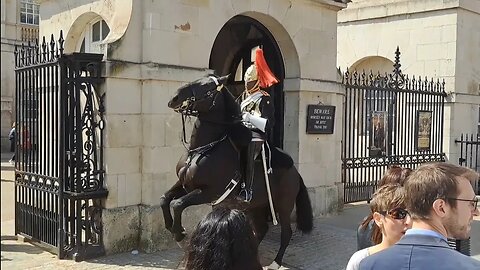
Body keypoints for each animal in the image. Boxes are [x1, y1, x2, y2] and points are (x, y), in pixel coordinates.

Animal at [162, 74, 316, 268]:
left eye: (207, 87)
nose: (175, 98)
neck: (202, 149)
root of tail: (295, 171)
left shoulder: (210, 192)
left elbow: (177, 203)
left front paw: (179, 233)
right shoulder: (185, 185)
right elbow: (165, 199)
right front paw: (170, 226)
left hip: (283, 205)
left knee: (286, 232)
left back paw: (275, 262)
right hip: (257, 204)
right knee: (261, 228)